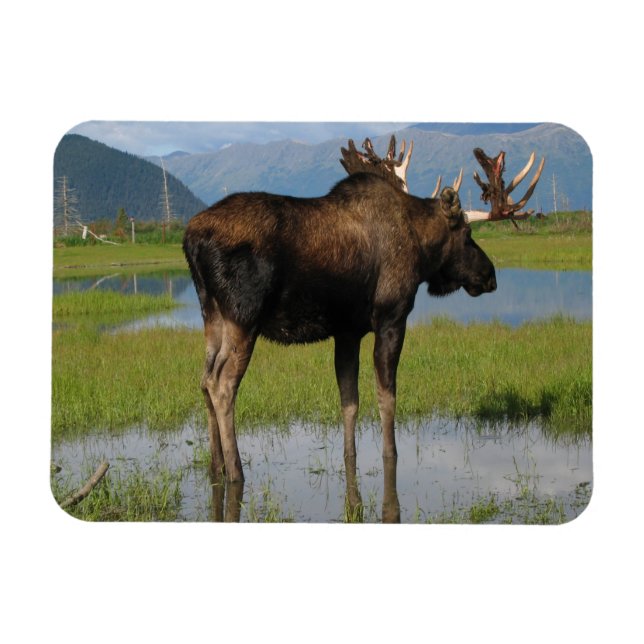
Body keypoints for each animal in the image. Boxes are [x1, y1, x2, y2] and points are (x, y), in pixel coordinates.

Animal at [183, 135, 544, 483]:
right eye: (467, 234)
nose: (490, 275)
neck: (421, 248)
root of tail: (190, 240)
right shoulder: (391, 317)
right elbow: (387, 397)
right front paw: (391, 456)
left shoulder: (347, 331)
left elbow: (349, 401)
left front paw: (350, 460)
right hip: (244, 317)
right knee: (222, 384)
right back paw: (235, 470)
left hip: (212, 315)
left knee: (204, 378)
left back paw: (216, 466)